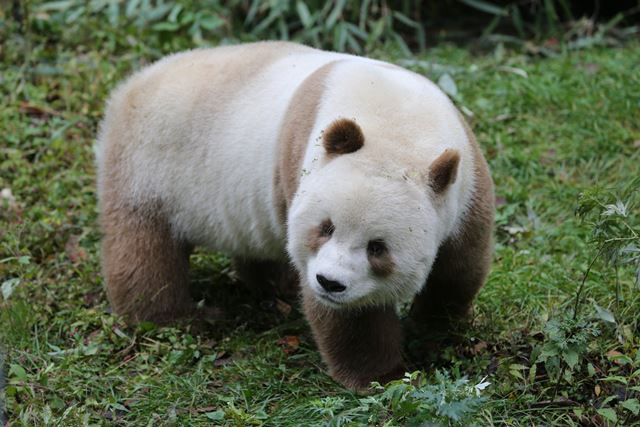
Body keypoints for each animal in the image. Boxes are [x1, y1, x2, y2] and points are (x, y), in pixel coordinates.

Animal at [95, 40, 496, 392]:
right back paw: (177, 319)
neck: (398, 123)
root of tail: (131, 86)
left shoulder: (466, 183)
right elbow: (352, 317)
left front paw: (436, 328)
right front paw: (383, 377)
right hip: (150, 166)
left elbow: (459, 266)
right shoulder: (306, 162)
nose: (330, 283)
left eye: (377, 248)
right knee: (144, 254)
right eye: (326, 228)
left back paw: (276, 288)